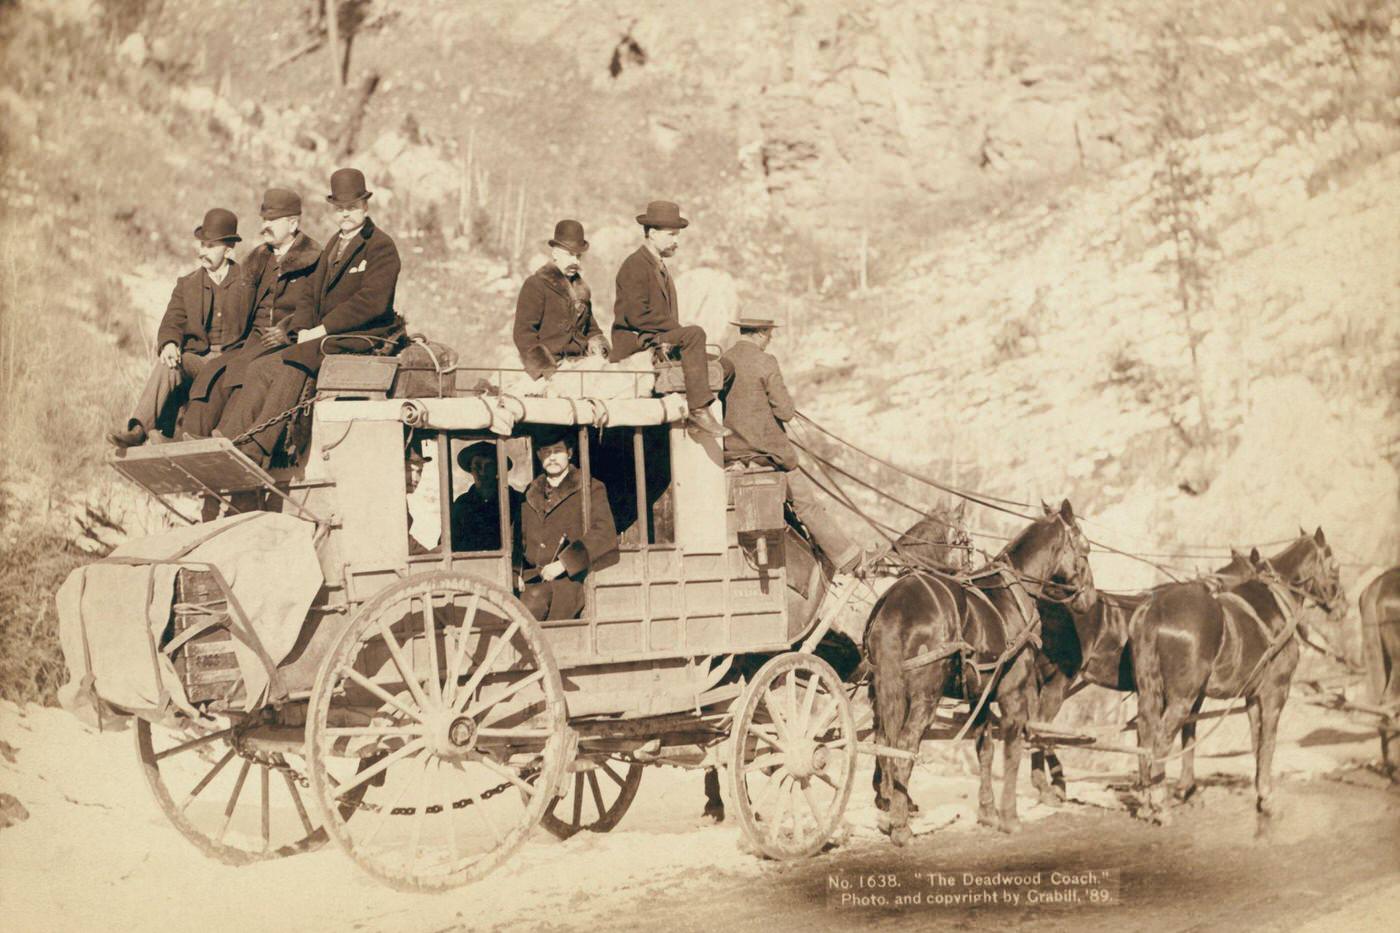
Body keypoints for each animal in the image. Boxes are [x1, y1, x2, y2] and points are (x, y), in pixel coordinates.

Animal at [862, 498, 1092, 840]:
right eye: (1085, 548)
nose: (1090, 597)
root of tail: (895, 605)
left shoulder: (979, 696)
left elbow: (985, 749)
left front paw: (987, 812)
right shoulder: (1013, 694)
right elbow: (1012, 750)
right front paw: (1009, 816)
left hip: (884, 691)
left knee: (884, 742)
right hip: (925, 697)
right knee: (904, 745)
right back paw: (901, 826)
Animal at [1125, 526, 1344, 823]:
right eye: (1335, 566)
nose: (1342, 606)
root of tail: (1155, 610)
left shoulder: (1251, 696)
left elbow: (1255, 742)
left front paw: (1259, 795)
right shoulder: (1275, 693)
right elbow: (1268, 742)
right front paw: (1267, 797)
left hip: (1150, 693)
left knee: (1145, 735)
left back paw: (1148, 802)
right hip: (1181, 698)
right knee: (1160, 741)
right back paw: (1160, 804)